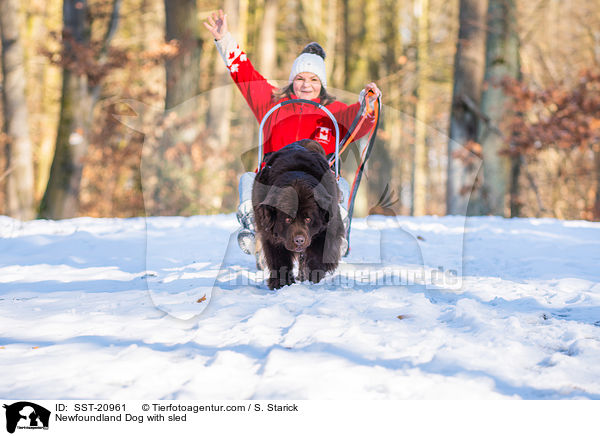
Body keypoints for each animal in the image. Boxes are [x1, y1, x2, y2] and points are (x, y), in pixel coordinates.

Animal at [252, 140, 344, 290]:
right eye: (288, 219)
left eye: (308, 219)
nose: (299, 240)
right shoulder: (269, 234)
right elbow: (278, 259)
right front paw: (281, 283)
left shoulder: (326, 228)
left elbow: (318, 255)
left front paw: (313, 279)